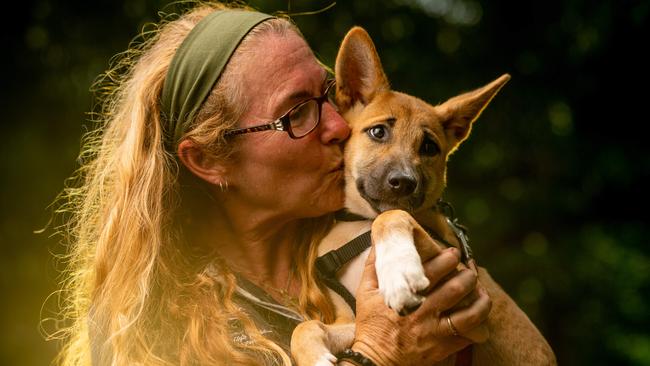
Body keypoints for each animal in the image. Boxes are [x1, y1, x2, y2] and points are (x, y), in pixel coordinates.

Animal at [292, 26, 556, 366]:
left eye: (429, 147)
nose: (404, 182)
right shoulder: (353, 318)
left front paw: (399, 271)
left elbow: (394, 214)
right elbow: (306, 326)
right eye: (378, 132)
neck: (361, 223)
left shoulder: (471, 301)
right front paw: (312, 355)